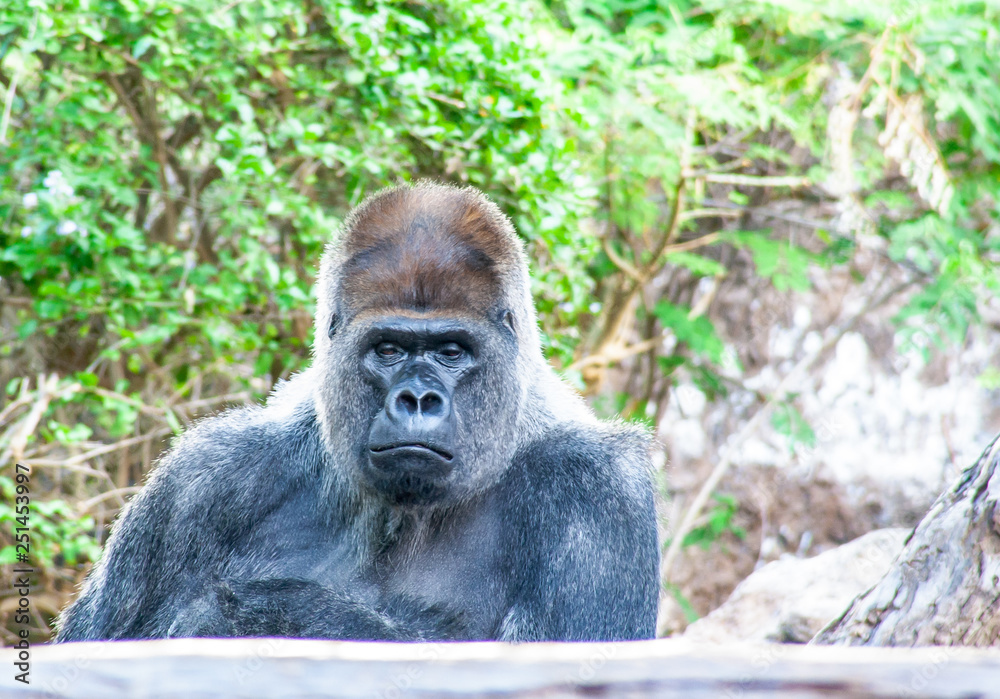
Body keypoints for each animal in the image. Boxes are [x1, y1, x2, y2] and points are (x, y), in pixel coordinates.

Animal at [56, 182, 659, 642]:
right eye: (388, 350)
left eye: (451, 351)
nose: (416, 400)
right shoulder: (200, 481)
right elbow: (95, 640)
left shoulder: (600, 492)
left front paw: (245, 612)